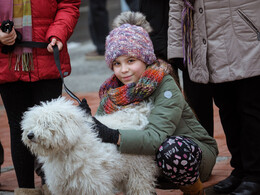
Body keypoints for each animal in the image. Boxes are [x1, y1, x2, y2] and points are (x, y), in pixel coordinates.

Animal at [21, 97, 160, 195]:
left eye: (46, 123)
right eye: (33, 123)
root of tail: (138, 116)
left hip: (139, 172)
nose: (30, 135)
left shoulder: (94, 184)